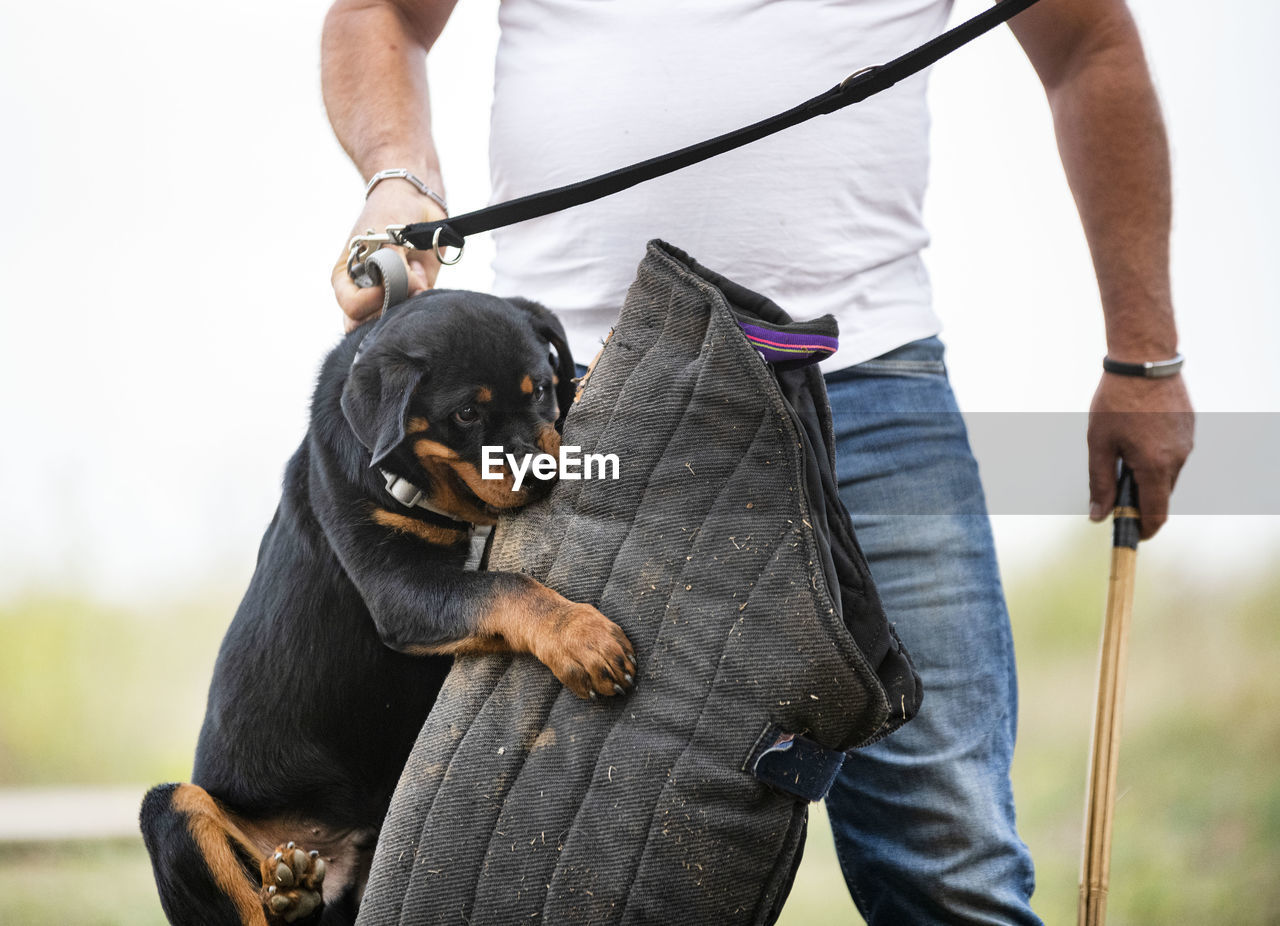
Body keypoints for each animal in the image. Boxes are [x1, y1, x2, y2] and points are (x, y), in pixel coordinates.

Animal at [138, 292, 634, 926]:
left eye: (542, 389)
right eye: (466, 415)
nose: (541, 472)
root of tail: (334, 856)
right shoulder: (399, 588)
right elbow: (506, 585)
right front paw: (582, 637)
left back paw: (295, 890)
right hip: (173, 810)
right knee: (230, 883)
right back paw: (283, 892)